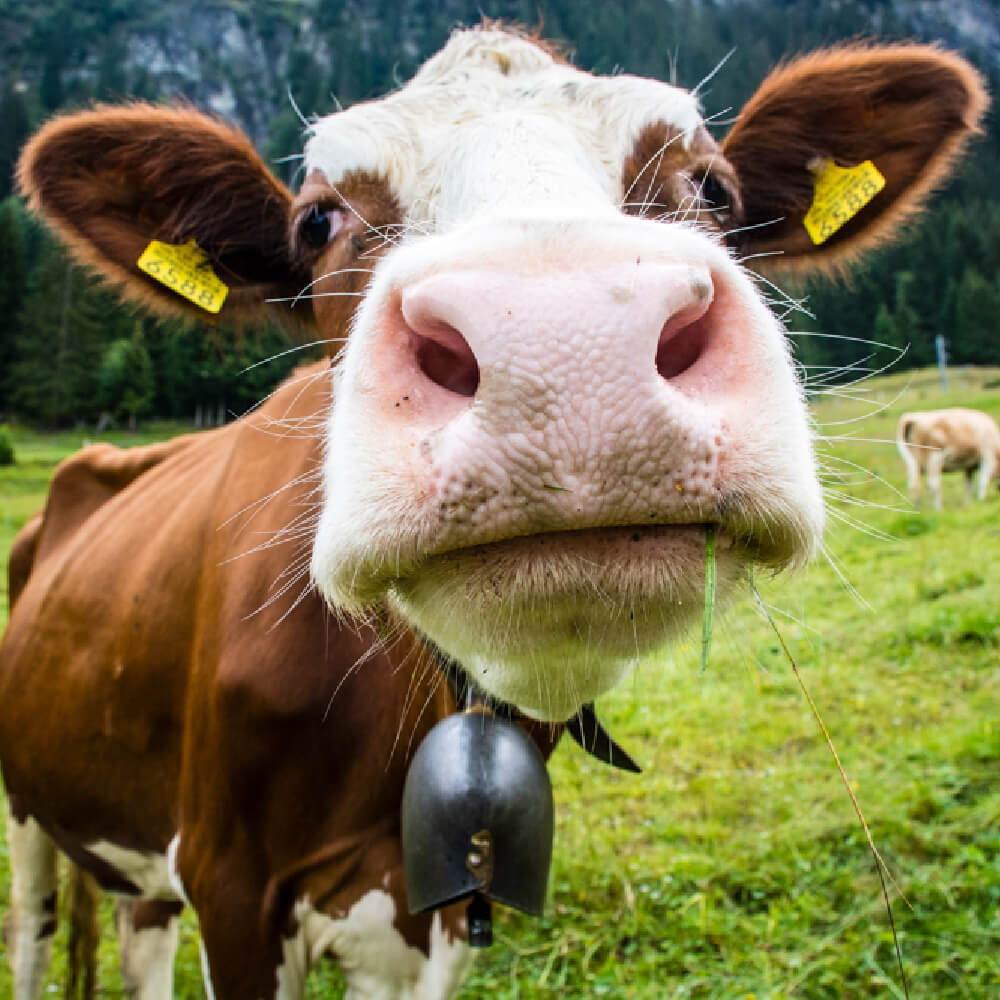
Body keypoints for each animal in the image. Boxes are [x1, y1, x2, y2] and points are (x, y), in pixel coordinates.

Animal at [0, 24, 987, 1000]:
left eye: (713, 186)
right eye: (317, 220)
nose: (563, 337)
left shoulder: (428, 918)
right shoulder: (232, 882)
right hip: (30, 811)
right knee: (35, 935)